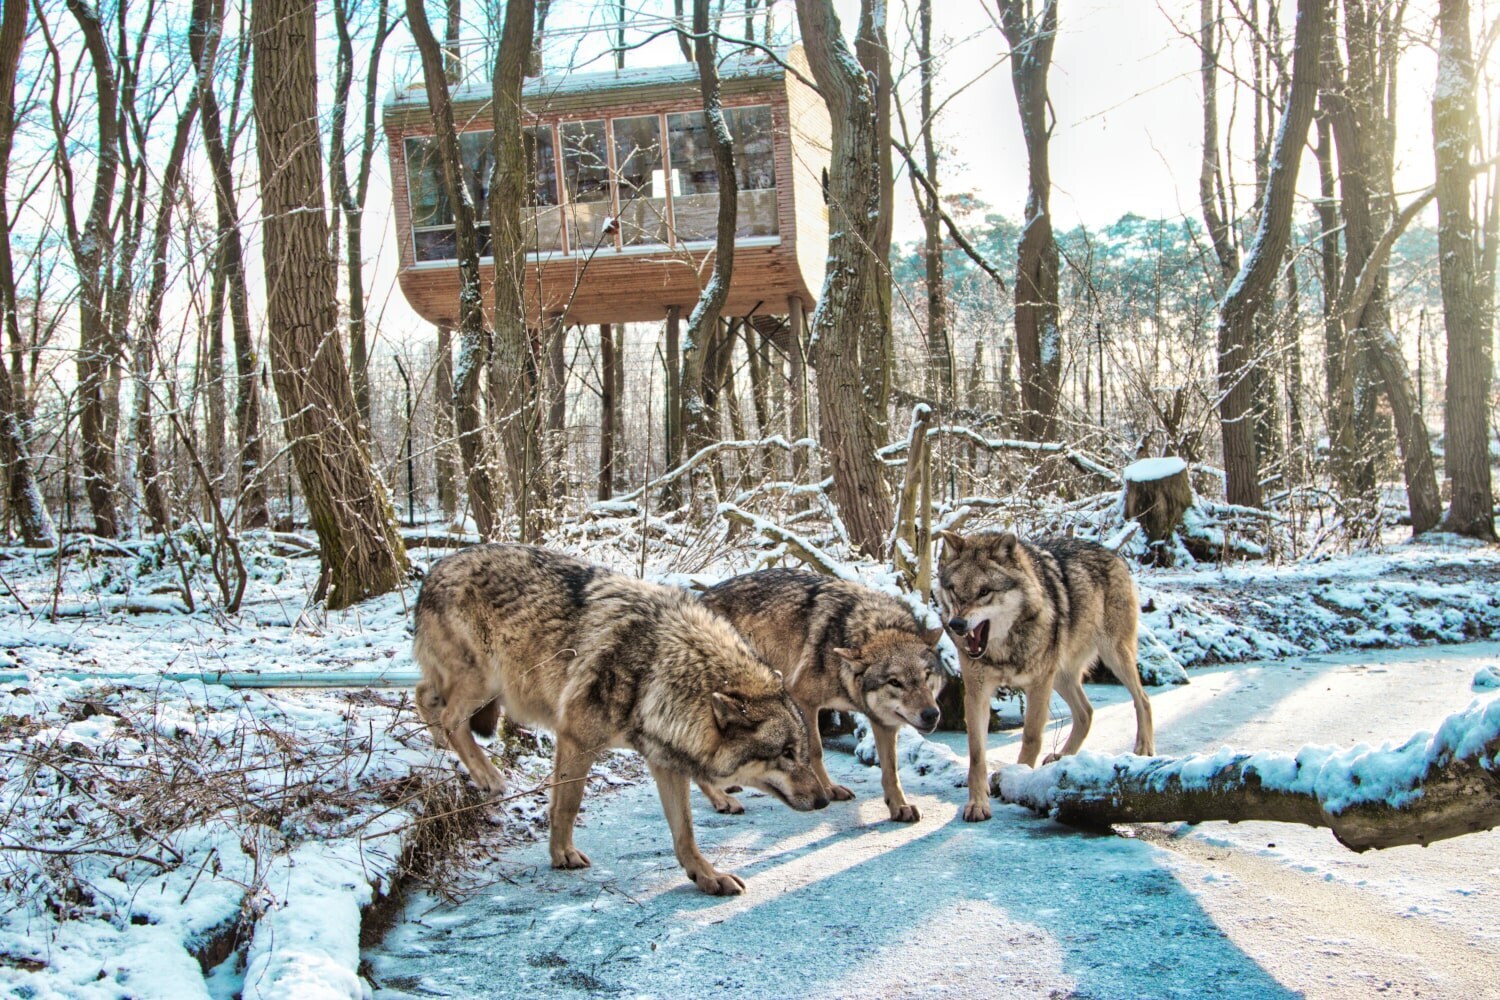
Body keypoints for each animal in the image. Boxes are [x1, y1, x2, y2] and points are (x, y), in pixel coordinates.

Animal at [413, 544, 829, 896]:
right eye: (786, 753)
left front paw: (707, 877)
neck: (658, 668)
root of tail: (434, 569)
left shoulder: (665, 761)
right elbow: (567, 805)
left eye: (800, 750)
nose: (825, 800)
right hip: (486, 680)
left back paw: (440, 750)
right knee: (449, 717)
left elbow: (685, 832)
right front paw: (561, 854)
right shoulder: (575, 740)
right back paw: (488, 776)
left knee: (423, 696)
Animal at [700, 569, 944, 823]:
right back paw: (722, 800)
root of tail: (701, 597)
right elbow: (815, 751)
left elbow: (891, 769)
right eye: (895, 682)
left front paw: (900, 806)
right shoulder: (803, 701)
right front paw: (828, 789)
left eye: (926, 675)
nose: (931, 714)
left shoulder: (883, 720)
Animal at [935, 531, 1155, 822]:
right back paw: (1062, 757)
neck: (1005, 648)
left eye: (984, 591)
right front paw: (978, 804)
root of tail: (1112, 553)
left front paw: (1017, 781)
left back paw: (1143, 748)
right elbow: (977, 754)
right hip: (1062, 676)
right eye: (953, 590)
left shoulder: (1038, 686)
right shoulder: (976, 693)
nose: (957, 625)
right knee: (1087, 712)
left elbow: (1031, 737)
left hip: (1113, 657)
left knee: (1143, 699)